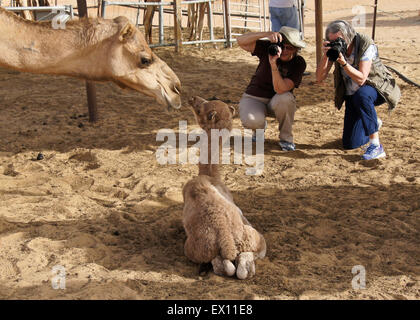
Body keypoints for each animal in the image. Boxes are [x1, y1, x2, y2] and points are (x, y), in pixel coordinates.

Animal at [182, 96, 268, 278]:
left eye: (200, 109)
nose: (192, 98)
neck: (211, 175)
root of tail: (226, 239)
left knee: (231, 266)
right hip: (254, 240)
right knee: (237, 266)